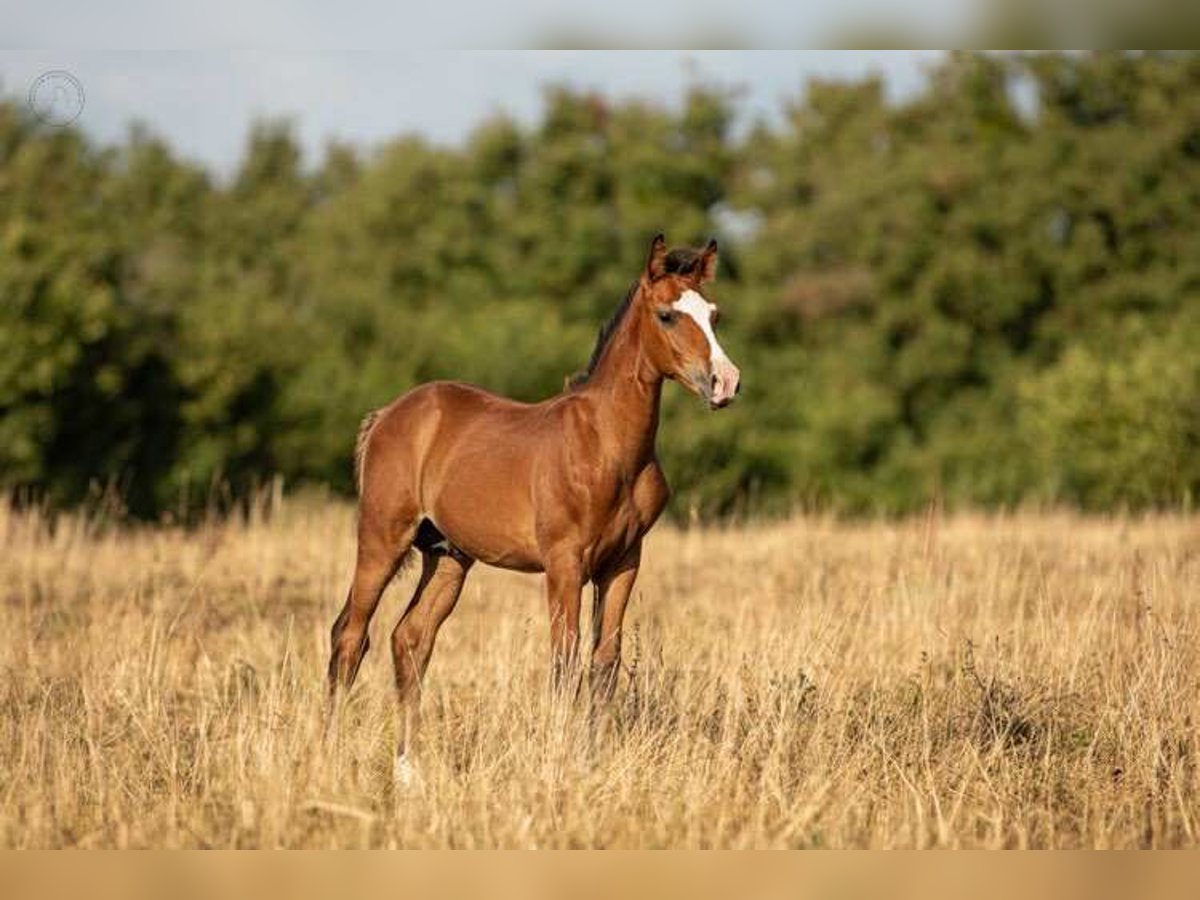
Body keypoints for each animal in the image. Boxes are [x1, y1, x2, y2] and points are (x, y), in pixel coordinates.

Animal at [327, 234, 741, 778]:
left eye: (713, 314)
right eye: (667, 315)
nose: (725, 382)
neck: (607, 443)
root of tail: (387, 415)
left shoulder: (623, 562)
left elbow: (604, 661)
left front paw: (589, 763)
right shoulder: (564, 562)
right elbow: (564, 661)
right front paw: (560, 762)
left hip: (448, 557)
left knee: (410, 640)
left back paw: (407, 771)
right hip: (382, 538)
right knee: (350, 635)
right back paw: (328, 754)